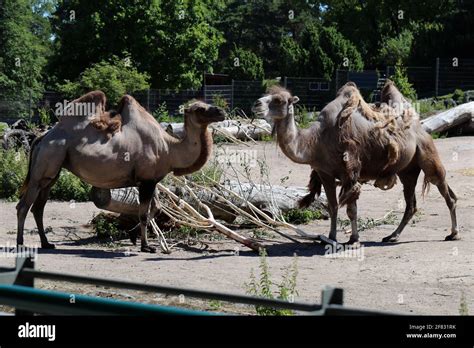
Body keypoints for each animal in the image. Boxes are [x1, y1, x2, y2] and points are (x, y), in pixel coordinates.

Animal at [16, 91, 226, 251]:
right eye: (200, 109)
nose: (221, 111)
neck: (169, 149)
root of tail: (42, 137)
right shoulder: (147, 181)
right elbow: (144, 213)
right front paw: (146, 246)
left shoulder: (149, 180)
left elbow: (155, 209)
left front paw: (133, 236)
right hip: (44, 165)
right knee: (24, 206)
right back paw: (20, 243)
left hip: (52, 173)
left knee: (38, 207)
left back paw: (46, 243)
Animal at [252, 81, 460, 245]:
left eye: (279, 100)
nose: (256, 104)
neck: (316, 140)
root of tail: (420, 127)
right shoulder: (325, 173)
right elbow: (333, 206)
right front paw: (331, 237)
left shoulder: (349, 172)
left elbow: (351, 209)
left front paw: (353, 239)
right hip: (407, 170)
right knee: (411, 204)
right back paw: (392, 236)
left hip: (427, 153)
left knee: (445, 191)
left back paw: (453, 233)